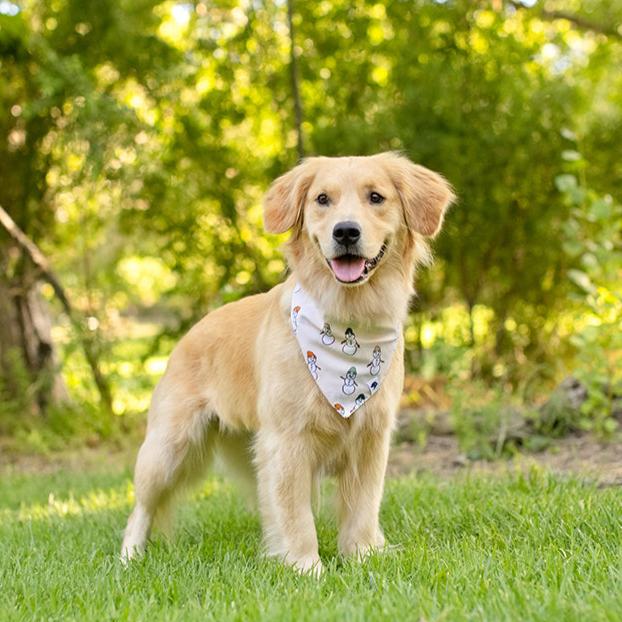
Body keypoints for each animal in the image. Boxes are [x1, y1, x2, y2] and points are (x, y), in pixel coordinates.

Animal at [120, 151, 454, 576]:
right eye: (322, 199)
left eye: (376, 197)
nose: (346, 232)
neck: (348, 322)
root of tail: (191, 332)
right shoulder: (286, 441)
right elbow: (295, 515)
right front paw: (305, 568)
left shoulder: (371, 438)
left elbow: (362, 509)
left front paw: (361, 555)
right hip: (167, 448)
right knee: (141, 508)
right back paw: (129, 556)